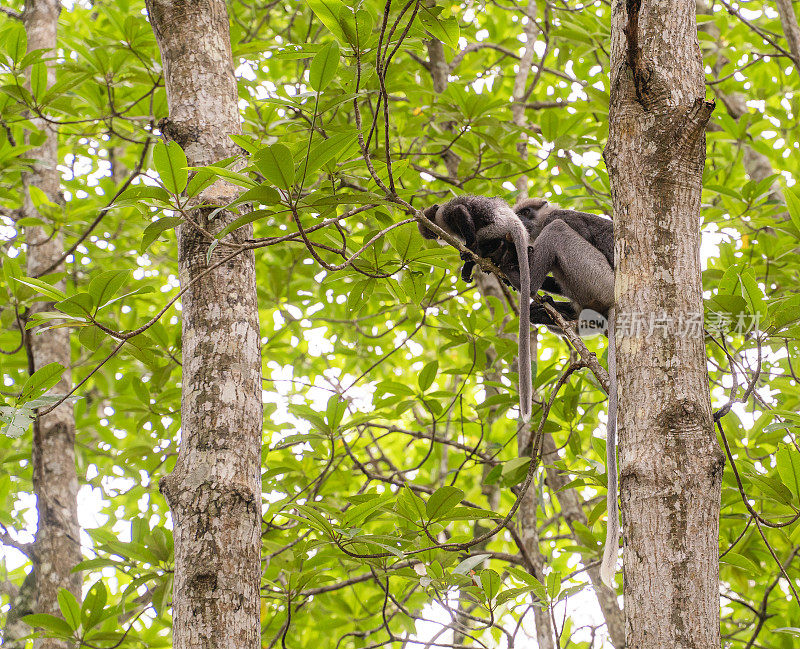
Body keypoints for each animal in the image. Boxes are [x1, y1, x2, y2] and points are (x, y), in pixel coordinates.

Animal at [418, 195, 532, 422]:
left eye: (433, 230)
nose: (437, 237)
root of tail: (515, 222)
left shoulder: (446, 214)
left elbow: (460, 211)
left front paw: (469, 248)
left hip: (496, 227)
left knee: (482, 237)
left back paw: (476, 253)